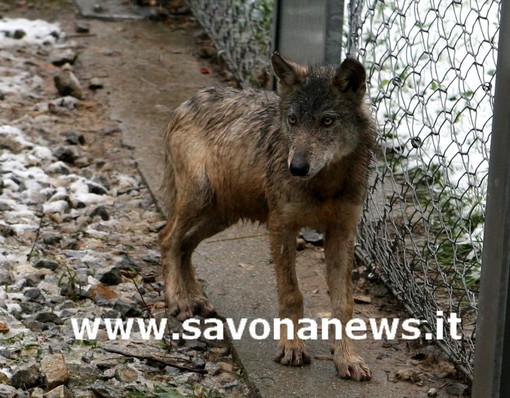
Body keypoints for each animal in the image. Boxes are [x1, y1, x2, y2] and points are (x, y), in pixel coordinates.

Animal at [157, 52, 376, 380]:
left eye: (327, 121)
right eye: (293, 120)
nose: (296, 168)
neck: (325, 184)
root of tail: (186, 102)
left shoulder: (342, 232)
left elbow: (343, 304)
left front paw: (347, 358)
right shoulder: (282, 227)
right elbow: (291, 294)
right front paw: (292, 348)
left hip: (221, 215)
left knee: (184, 244)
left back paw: (196, 299)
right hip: (199, 199)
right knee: (167, 238)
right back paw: (179, 301)